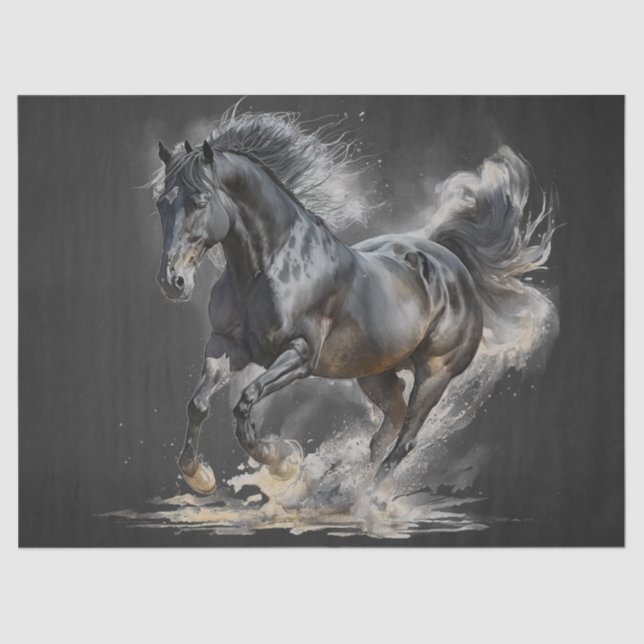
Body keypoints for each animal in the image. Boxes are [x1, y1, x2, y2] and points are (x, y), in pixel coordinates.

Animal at [151, 110, 555, 496]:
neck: (268, 268)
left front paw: (283, 462)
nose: (173, 282)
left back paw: (366, 499)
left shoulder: (299, 354)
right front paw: (198, 476)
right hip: (374, 374)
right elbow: (198, 404)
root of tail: (450, 261)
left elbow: (246, 401)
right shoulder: (227, 346)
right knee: (388, 426)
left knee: (405, 439)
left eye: (200, 201)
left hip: (435, 373)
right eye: (160, 204)